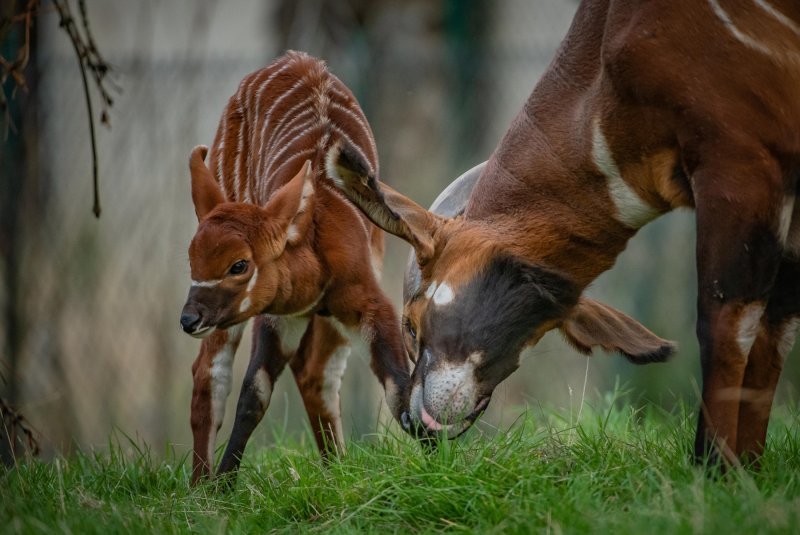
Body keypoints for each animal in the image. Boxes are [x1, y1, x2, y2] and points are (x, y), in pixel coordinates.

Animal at [179, 51, 410, 486]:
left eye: (239, 264)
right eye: (191, 259)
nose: (188, 318)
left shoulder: (368, 305)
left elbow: (398, 386)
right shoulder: (278, 318)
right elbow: (254, 393)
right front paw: (223, 484)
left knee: (315, 375)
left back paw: (335, 468)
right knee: (208, 372)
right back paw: (199, 484)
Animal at [330, 1, 800, 468]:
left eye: (410, 324)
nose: (414, 423)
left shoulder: (737, 158)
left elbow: (727, 324)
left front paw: (714, 468)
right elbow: (773, 332)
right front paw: (748, 469)